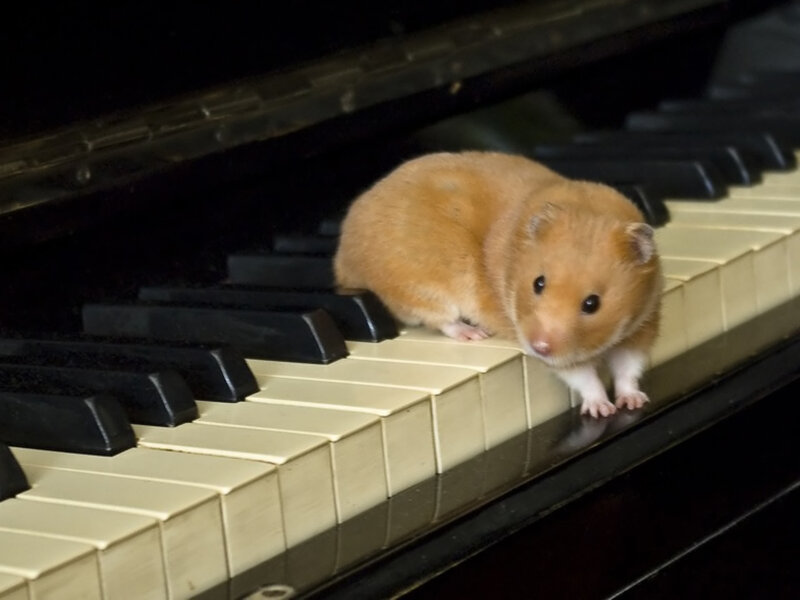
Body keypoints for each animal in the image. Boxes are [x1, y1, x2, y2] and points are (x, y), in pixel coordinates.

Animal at [334, 151, 663, 418]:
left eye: (592, 304)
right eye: (538, 283)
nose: (539, 347)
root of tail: (343, 257)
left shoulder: (642, 324)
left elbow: (627, 368)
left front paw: (633, 403)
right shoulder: (555, 353)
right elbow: (583, 376)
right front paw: (602, 410)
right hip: (424, 285)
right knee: (441, 320)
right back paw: (474, 333)